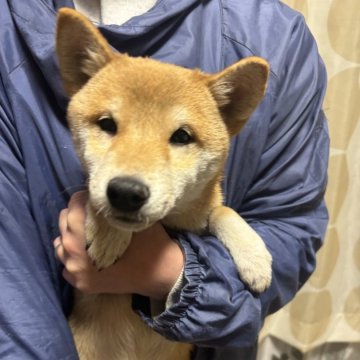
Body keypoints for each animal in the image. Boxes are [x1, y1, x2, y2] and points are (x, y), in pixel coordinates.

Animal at [55, 7, 270, 360]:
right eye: (107, 124)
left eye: (182, 136)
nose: (126, 192)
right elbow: (92, 195)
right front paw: (108, 233)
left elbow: (223, 211)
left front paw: (255, 258)